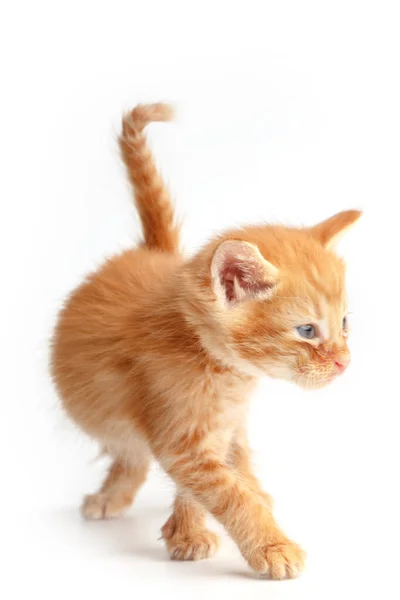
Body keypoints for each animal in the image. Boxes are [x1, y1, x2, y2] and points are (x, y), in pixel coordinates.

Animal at [50, 102, 360, 576]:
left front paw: (189, 530)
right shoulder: (179, 433)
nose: (344, 361)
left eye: (345, 323)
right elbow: (225, 492)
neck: (220, 367)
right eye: (307, 330)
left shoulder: (223, 424)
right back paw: (109, 498)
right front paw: (271, 545)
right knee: (129, 453)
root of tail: (153, 252)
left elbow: (221, 474)